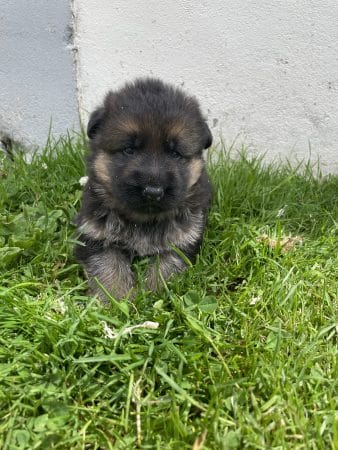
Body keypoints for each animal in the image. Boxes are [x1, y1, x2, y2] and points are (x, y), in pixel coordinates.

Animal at [74, 79, 211, 300]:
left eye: (175, 153)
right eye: (129, 150)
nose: (153, 192)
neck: (143, 220)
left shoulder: (183, 239)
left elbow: (166, 268)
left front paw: (151, 295)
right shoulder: (96, 235)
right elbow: (108, 268)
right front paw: (116, 300)